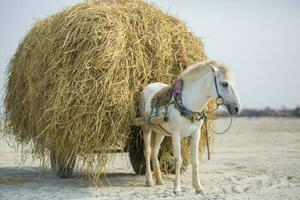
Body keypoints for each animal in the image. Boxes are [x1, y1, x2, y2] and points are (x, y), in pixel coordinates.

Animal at [139, 59, 241, 195]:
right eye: (224, 84)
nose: (237, 108)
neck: (188, 103)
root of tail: (148, 87)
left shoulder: (195, 134)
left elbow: (195, 161)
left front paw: (198, 187)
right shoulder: (176, 135)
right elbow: (178, 160)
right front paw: (177, 189)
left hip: (160, 132)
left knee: (155, 152)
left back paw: (159, 180)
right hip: (146, 128)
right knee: (147, 151)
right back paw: (149, 180)